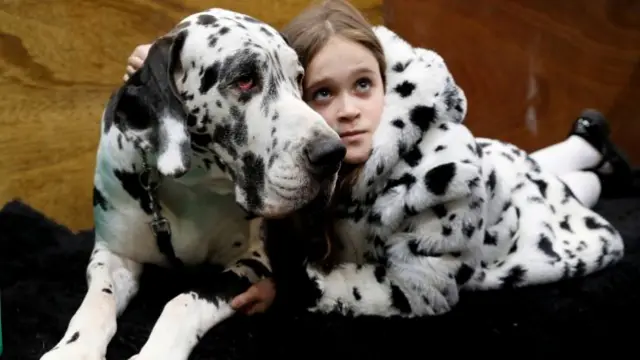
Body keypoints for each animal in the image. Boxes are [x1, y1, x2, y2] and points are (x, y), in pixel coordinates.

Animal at [40, 8, 344, 360]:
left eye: (298, 78)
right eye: (244, 78)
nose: (332, 154)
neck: (192, 186)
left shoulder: (251, 261)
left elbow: (184, 300)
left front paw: (157, 352)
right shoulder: (112, 254)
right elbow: (96, 302)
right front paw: (74, 348)